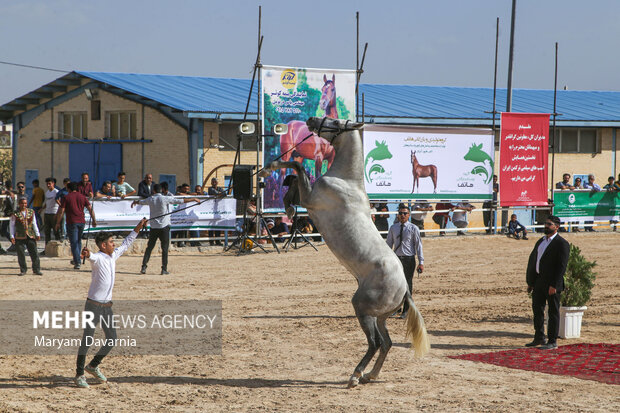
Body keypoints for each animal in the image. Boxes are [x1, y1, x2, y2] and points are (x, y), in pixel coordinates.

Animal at [260, 116, 428, 386]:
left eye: (335, 121)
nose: (311, 120)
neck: (346, 180)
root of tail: (404, 290)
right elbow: (295, 177)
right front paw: (287, 206)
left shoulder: (311, 198)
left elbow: (296, 167)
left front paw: (271, 172)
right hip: (380, 316)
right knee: (387, 343)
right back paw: (370, 375)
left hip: (362, 308)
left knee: (375, 343)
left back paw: (355, 375)